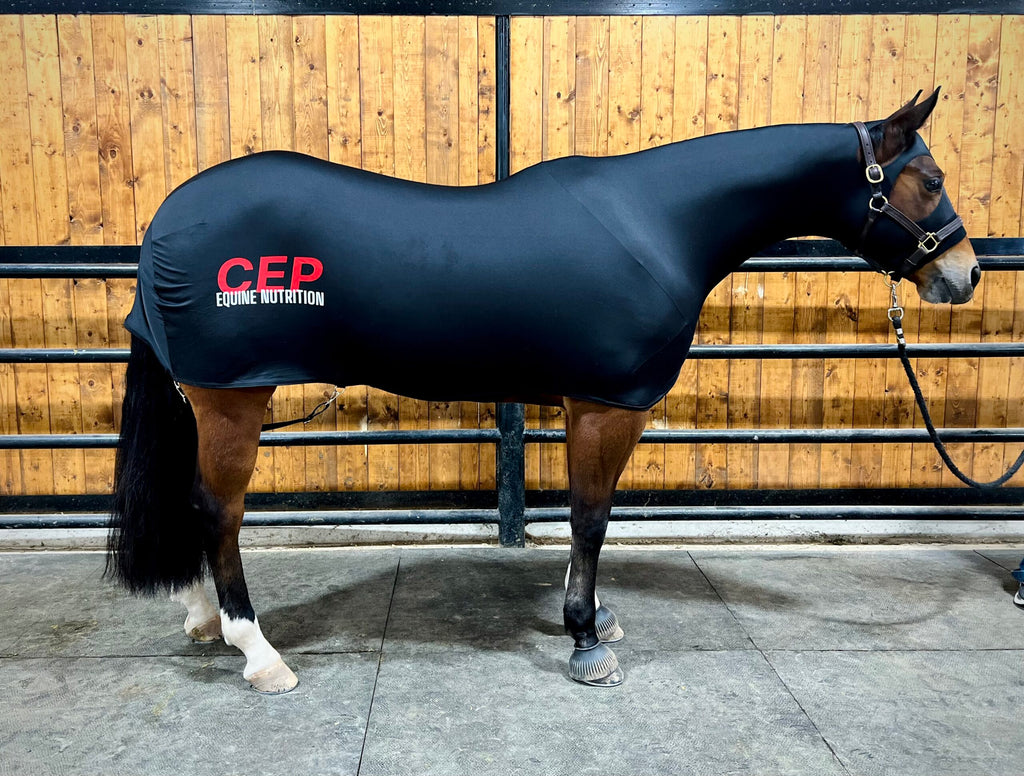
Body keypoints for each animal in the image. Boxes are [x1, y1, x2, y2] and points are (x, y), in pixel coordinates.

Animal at [107, 89, 979, 694]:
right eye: (930, 178)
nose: (965, 274)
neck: (660, 223)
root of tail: (165, 223)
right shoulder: (606, 406)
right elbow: (591, 519)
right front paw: (586, 641)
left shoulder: (586, 402)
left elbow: (587, 517)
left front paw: (594, 617)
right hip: (231, 398)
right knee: (218, 511)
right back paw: (258, 653)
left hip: (206, 398)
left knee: (196, 504)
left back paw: (201, 620)